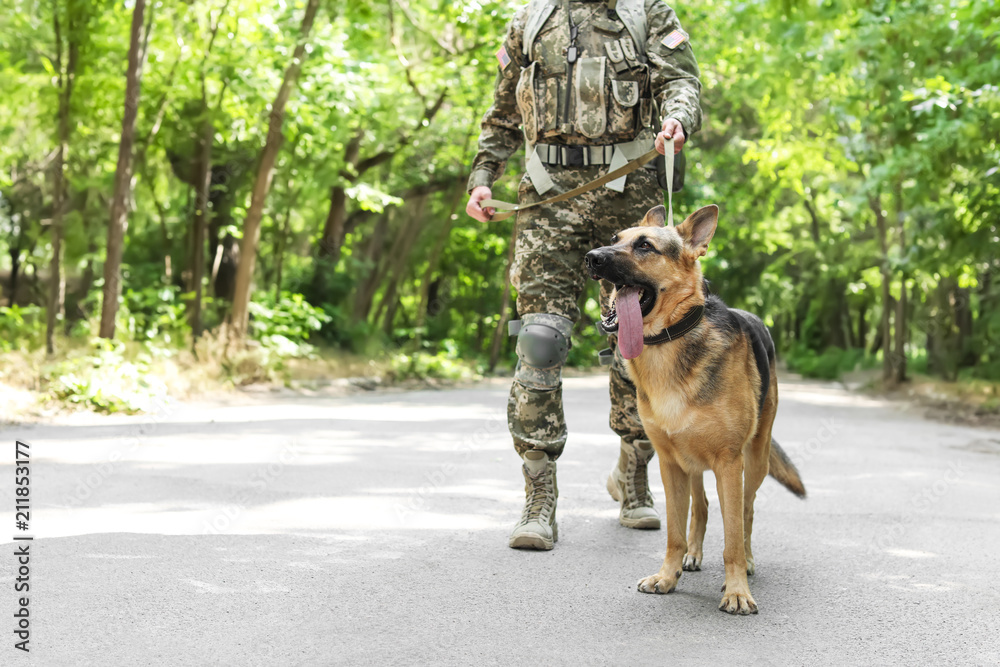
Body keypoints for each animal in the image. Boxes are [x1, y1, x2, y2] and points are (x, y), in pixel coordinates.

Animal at [584, 204, 804, 616]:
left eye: (644, 245)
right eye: (614, 239)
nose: (591, 258)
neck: (670, 340)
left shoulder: (729, 462)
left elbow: (732, 536)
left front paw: (737, 590)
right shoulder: (670, 463)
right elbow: (674, 530)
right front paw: (667, 576)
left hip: (755, 459)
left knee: (746, 512)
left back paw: (748, 561)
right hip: (693, 460)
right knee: (700, 505)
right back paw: (693, 554)